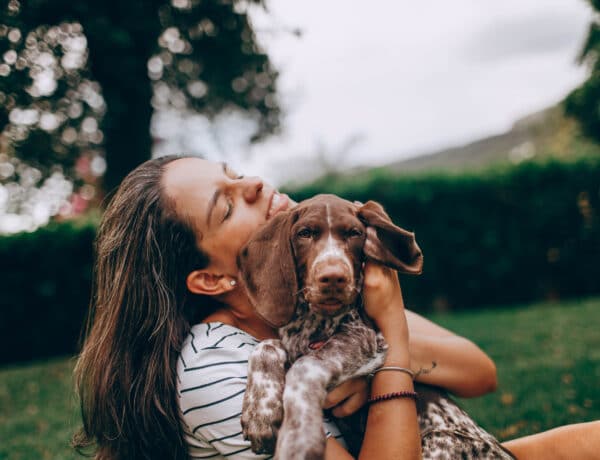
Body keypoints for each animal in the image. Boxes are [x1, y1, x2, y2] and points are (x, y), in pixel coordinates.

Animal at [238, 194, 422, 460]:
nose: (334, 277)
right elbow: (265, 346)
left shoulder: (366, 339)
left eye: (355, 233)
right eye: (304, 233)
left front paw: (299, 436)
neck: (312, 320)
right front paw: (260, 410)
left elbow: (304, 367)